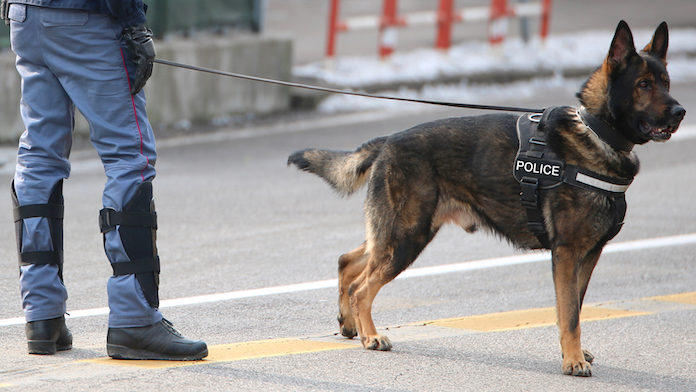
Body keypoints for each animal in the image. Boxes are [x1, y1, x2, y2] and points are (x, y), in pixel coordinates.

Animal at [286, 22, 684, 376]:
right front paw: (573, 361)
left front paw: (574, 354)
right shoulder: (568, 253)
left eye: (666, 83)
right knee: (362, 287)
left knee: (349, 262)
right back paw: (370, 335)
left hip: (400, 232)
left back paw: (350, 324)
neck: (597, 133)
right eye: (644, 85)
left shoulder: (588, 255)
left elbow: (575, 307)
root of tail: (388, 140)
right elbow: (569, 313)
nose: (680, 112)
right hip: (407, 236)